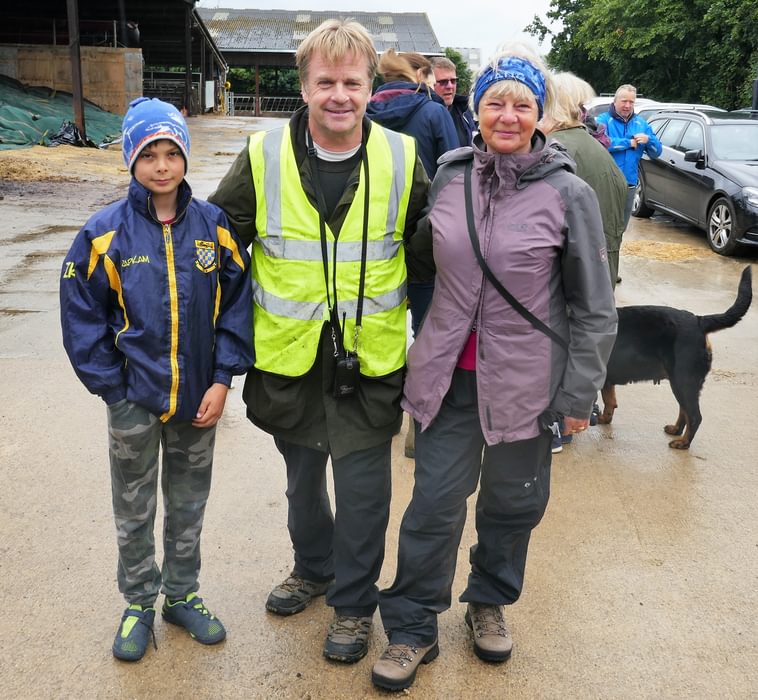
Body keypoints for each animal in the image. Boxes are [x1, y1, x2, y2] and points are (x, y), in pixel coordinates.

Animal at [600, 266, 756, 452]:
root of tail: (699, 321)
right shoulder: (607, 379)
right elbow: (609, 401)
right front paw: (604, 419)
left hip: (683, 381)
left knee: (694, 416)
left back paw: (683, 442)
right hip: (682, 383)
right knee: (684, 411)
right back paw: (676, 430)